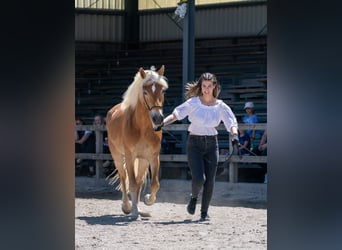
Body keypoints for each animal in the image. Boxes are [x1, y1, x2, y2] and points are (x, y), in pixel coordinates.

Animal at [105, 65, 167, 219]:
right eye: (145, 92)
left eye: (162, 90)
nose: (158, 119)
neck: (142, 128)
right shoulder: (130, 157)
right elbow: (131, 184)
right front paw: (132, 212)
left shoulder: (153, 157)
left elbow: (154, 184)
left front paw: (147, 201)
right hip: (118, 157)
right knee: (123, 178)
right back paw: (127, 206)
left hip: (143, 160)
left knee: (139, 182)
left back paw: (138, 208)